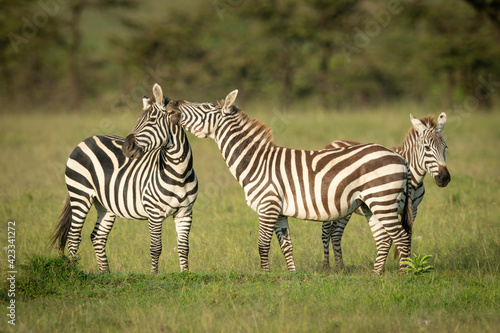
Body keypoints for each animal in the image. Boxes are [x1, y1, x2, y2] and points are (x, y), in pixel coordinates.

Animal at [50, 83, 198, 272]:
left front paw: (185, 274)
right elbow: (156, 248)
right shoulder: (154, 212)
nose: (126, 149)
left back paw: (105, 274)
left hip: (105, 204)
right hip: (80, 194)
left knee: (97, 237)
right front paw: (155, 275)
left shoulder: (185, 212)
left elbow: (184, 248)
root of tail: (87, 140)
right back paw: (73, 272)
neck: (179, 173)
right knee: (74, 236)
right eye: (137, 121)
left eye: (151, 121)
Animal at [168, 91, 414, 272]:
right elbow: (286, 246)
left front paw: (265, 276)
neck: (256, 161)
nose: (174, 102)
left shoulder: (267, 205)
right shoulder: (279, 211)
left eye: (207, 106)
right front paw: (292, 276)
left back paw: (403, 275)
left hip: (382, 199)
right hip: (371, 204)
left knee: (401, 237)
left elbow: (263, 245)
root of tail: (400, 157)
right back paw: (376, 274)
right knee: (384, 239)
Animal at [322, 113, 452, 272]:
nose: (444, 178)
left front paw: (404, 266)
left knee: (335, 232)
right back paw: (327, 266)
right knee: (328, 232)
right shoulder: (386, 207)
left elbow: (407, 236)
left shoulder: (413, 210)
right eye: (427, 147)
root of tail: (333, 142)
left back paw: (340, 267)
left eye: (445, 147)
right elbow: (391, 237)